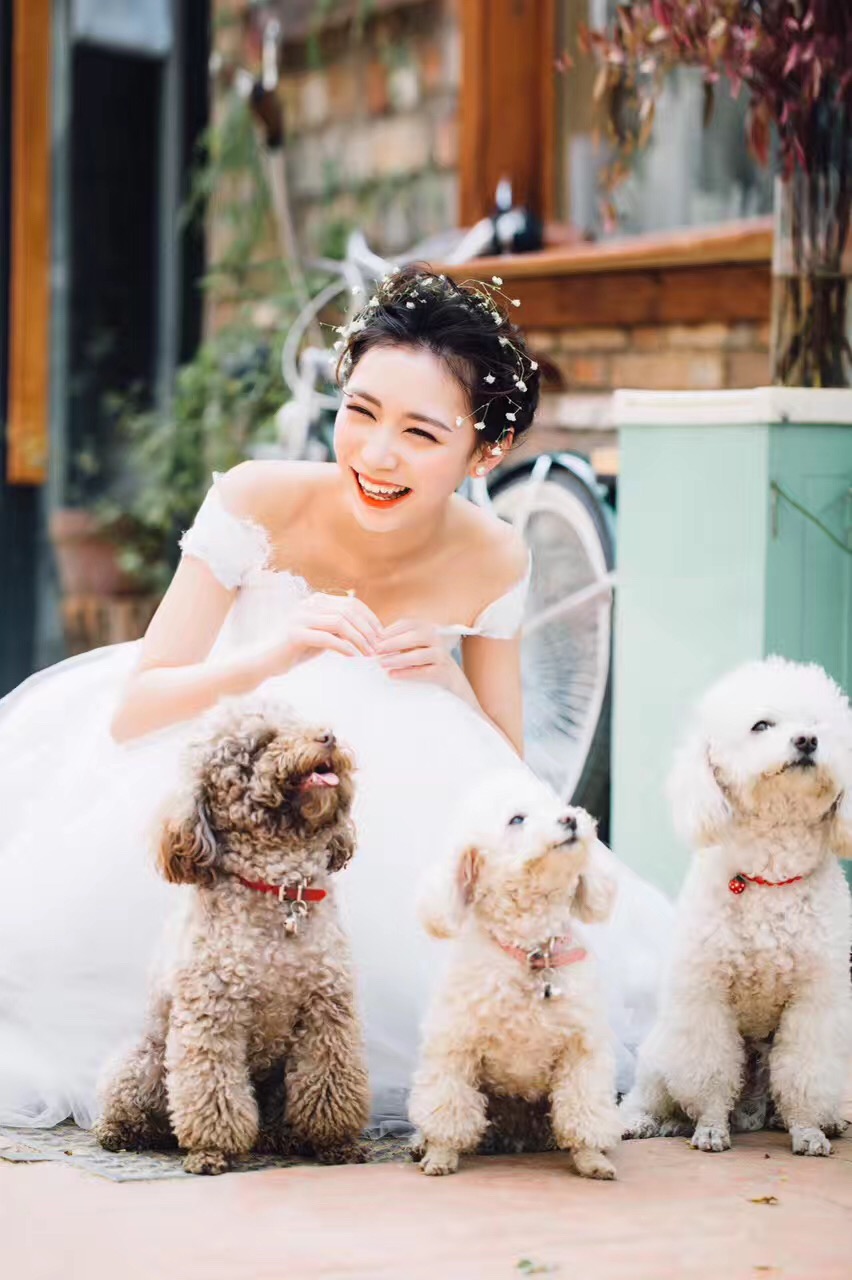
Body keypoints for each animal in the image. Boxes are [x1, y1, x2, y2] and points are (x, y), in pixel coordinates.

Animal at [94, 700, 370, 1174]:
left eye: (302, 724)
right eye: (261, 743)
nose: (328, 736)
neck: (280, 890)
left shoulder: (327, 1010)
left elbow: (329, 1082)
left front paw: (336, 1144)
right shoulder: (211, 1015)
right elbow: (212, 1088)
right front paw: (212, 1150)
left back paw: (281, 1137)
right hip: (146, 1060)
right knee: (138, 1103)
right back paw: (120, 1132)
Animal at [408, 769, 620, 1180]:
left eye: (559, 806)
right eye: (517, 820)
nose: (570, 819)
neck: (533, 950)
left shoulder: (581, 1048)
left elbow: (583, 1107)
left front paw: (592, 1158)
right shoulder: (455, 1046)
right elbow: (448, 1106)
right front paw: (441, 1154)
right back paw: (420, 1143)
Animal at [620, 656, 852, 1156]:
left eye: (818, 725)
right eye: (761, 725)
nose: (807, 741)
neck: (772, 875)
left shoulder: (815, 1000)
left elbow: (804, 1073)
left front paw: (808, 1131)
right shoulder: (706, 994)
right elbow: (710, 1074)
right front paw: (709, 1128)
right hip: (662, 1049)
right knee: (654, 1095)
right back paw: (646, 1122)